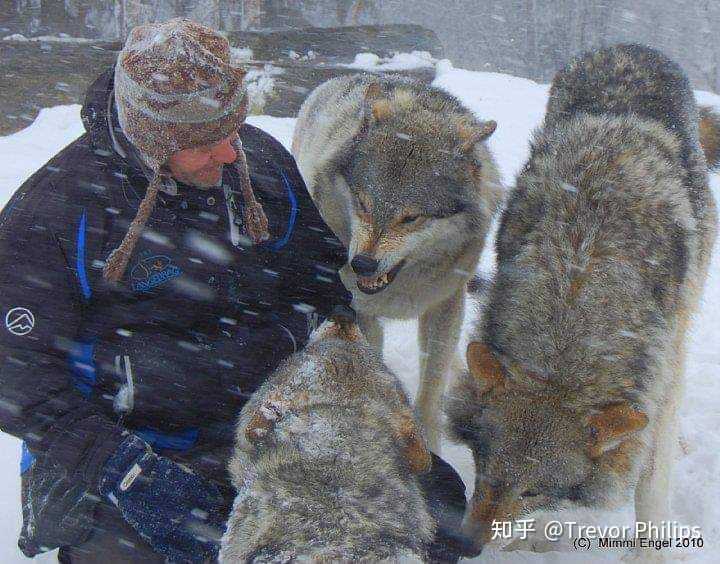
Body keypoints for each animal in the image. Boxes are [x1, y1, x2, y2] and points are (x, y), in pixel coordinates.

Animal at [292, 74, 500, 450]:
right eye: (362, 203)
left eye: (411, 218)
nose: (362, 265)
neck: (399, 288)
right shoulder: (360, 312)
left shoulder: (446, 304)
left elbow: (431, 388)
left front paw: (430, 444)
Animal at [448, 44, 716, 556]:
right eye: (483, 465)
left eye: (535, 490)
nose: (467, 546)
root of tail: (631, 46)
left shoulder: (657, 378)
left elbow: (650, 484)